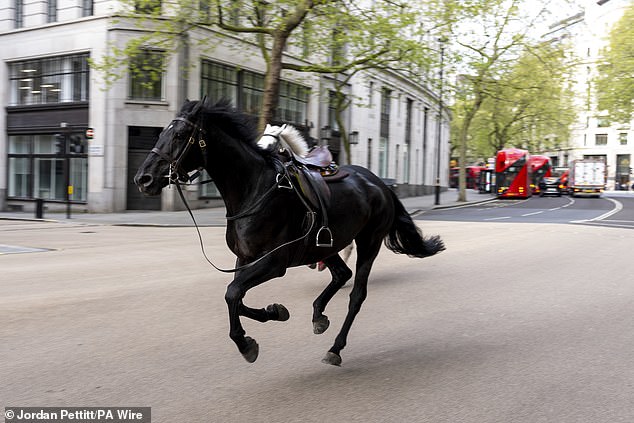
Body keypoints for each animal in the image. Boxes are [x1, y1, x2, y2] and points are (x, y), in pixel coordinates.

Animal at [133, 97, 442, 366]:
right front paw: (275, 312)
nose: (143, 178)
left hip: (369, 241)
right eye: (163, 132)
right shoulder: (245, 259)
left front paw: (245, 343)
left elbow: (232, 293)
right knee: (342, 274)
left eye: (180, 134)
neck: (253, 189)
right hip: (325, 244)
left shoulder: (274, 262)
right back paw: (318, 315)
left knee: (357, 295)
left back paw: (335, 348)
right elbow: (236, 296)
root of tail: (379, 183)